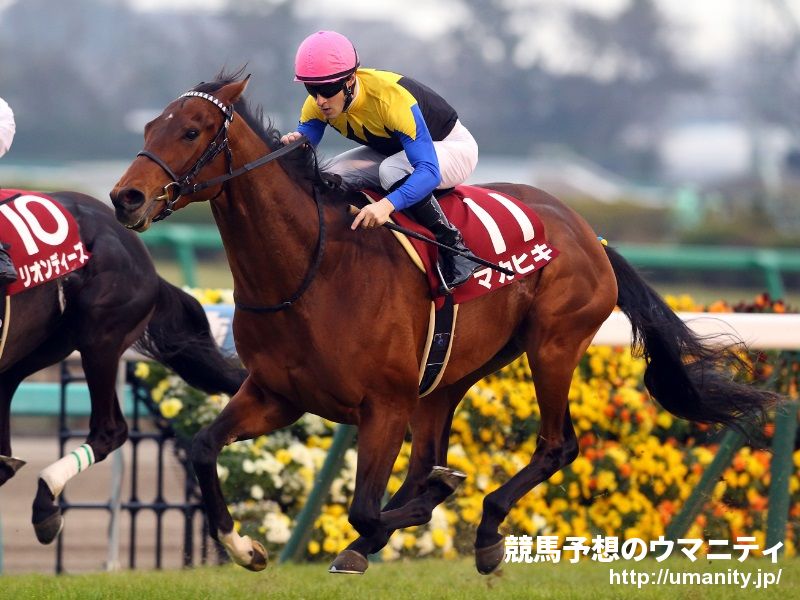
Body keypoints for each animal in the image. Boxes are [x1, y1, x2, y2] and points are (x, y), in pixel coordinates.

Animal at [110, 73, 780, 575]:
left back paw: (483, 530)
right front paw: (245, 546)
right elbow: (203, 448)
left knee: (557, 444)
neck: (310, 267)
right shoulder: (278, 394)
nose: (126, 198)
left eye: (191, 130)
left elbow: (364, 506)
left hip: (553, 343)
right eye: (147, 128)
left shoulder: (383, 405)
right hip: (450, 375)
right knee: (429, 453)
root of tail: (590, 232)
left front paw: (426, 503)